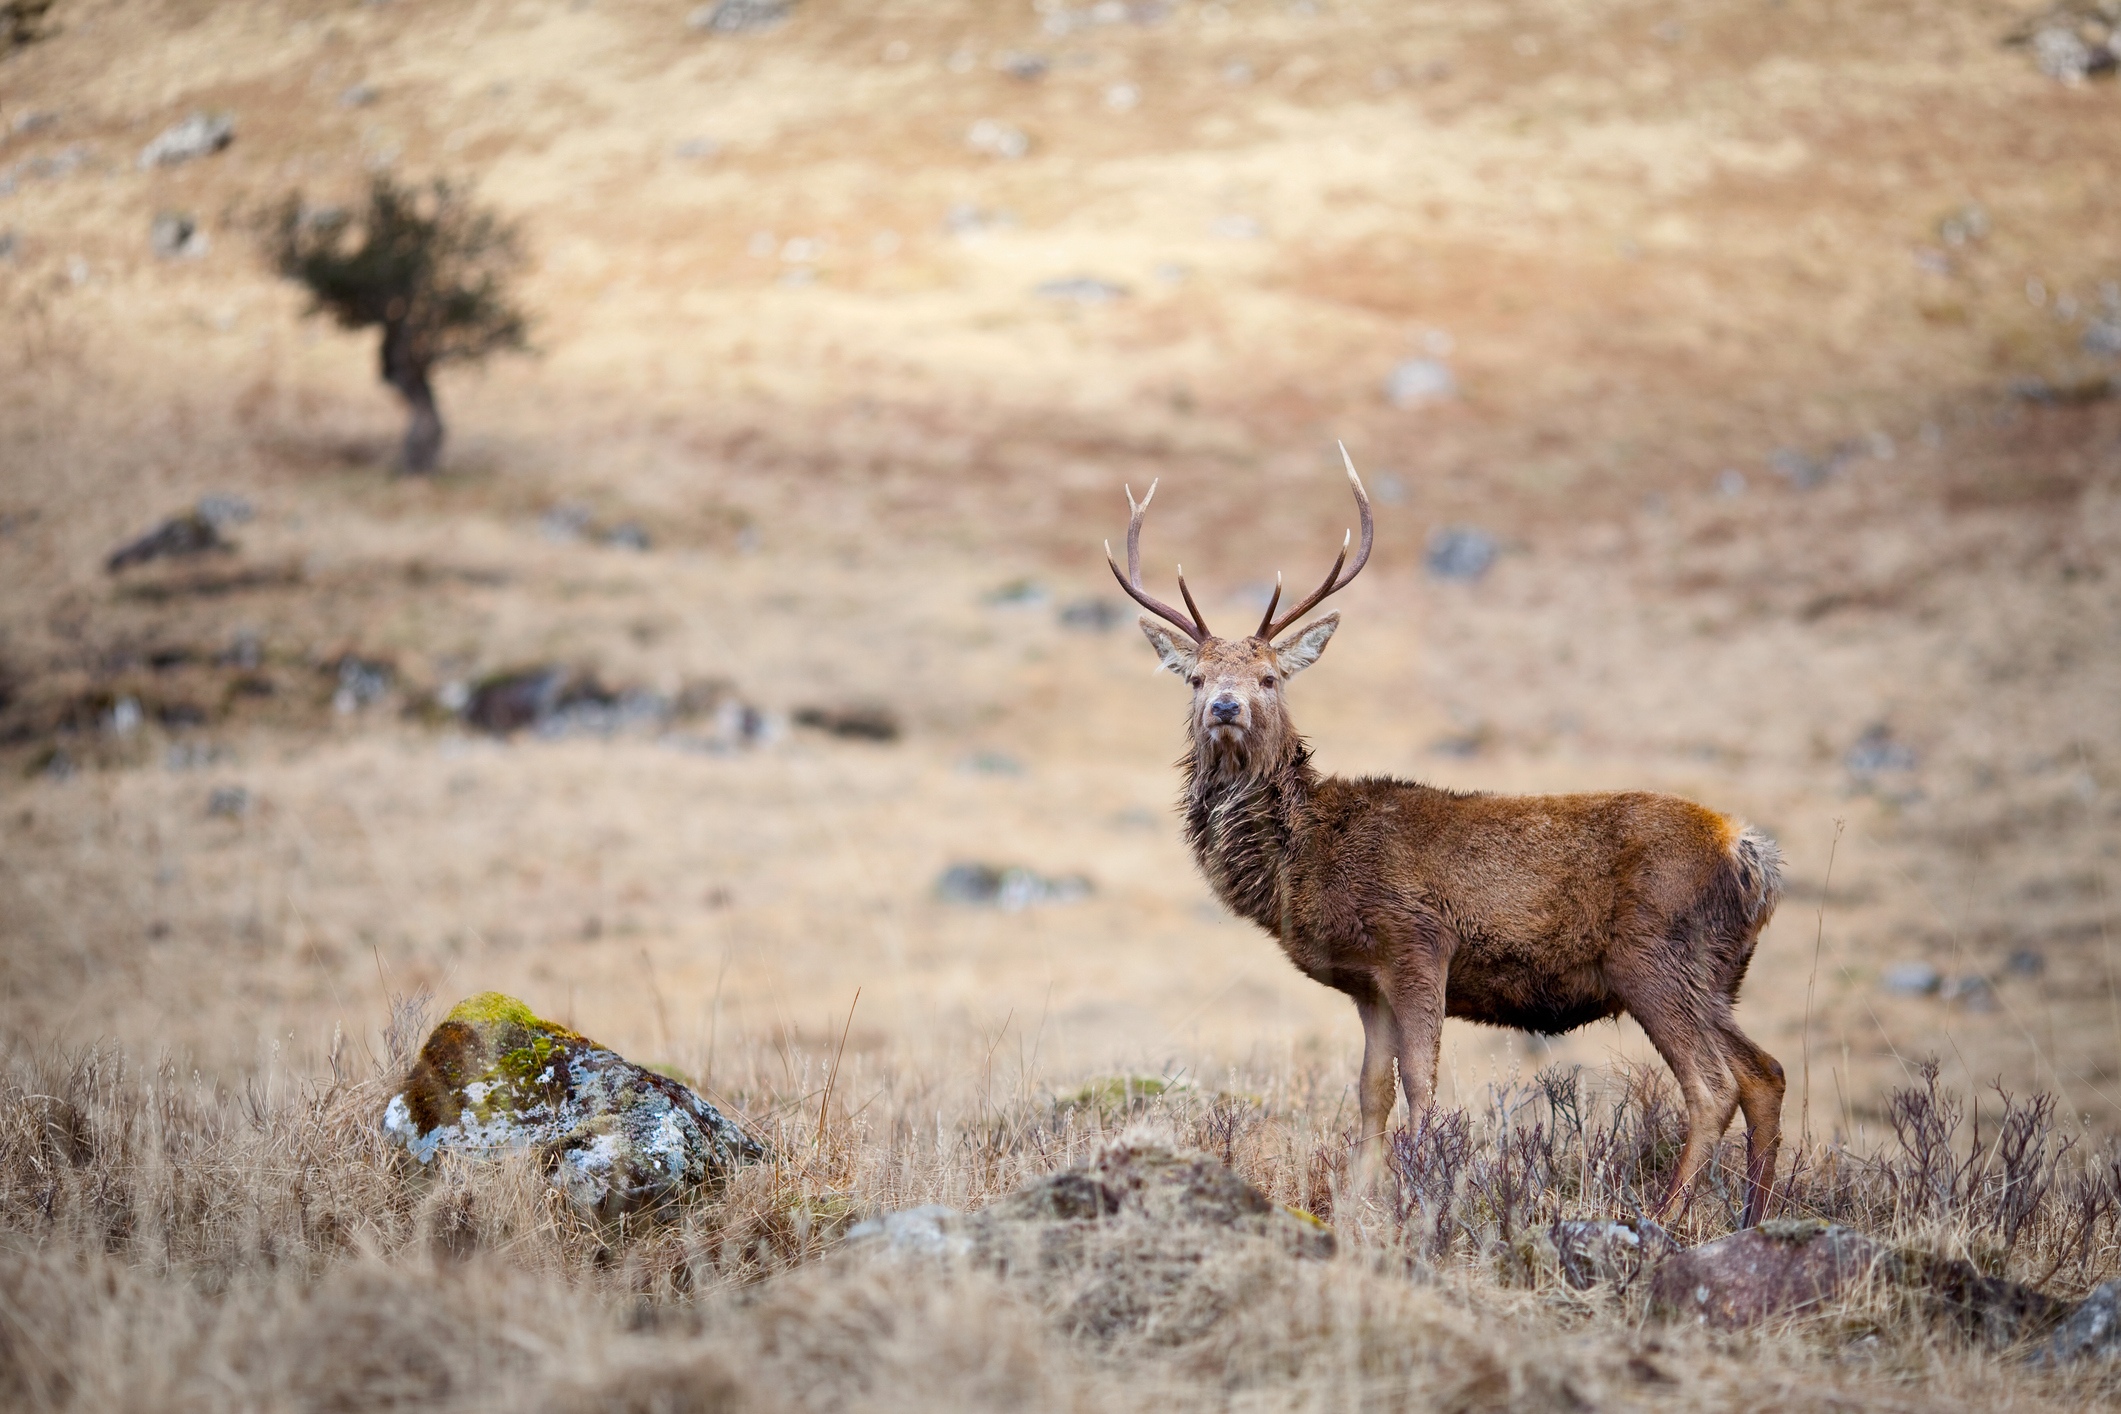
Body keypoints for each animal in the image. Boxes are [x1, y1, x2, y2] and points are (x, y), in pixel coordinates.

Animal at [1106, 446, 1788, 1228]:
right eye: (1193, 677)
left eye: (1270, 677)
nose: (1224, 705)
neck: (1305, 858)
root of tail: (1750, 854)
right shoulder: (1364, 980)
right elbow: (1371, 1091)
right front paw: (1357, 1203)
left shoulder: (1417, 941)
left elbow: (1420, 1082)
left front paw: (1419, 1193)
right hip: (1719, 972)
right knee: (1765, 1072)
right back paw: (1754, 1214)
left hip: (1653, 956)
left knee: (1713, 1084)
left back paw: (1666, 1214)